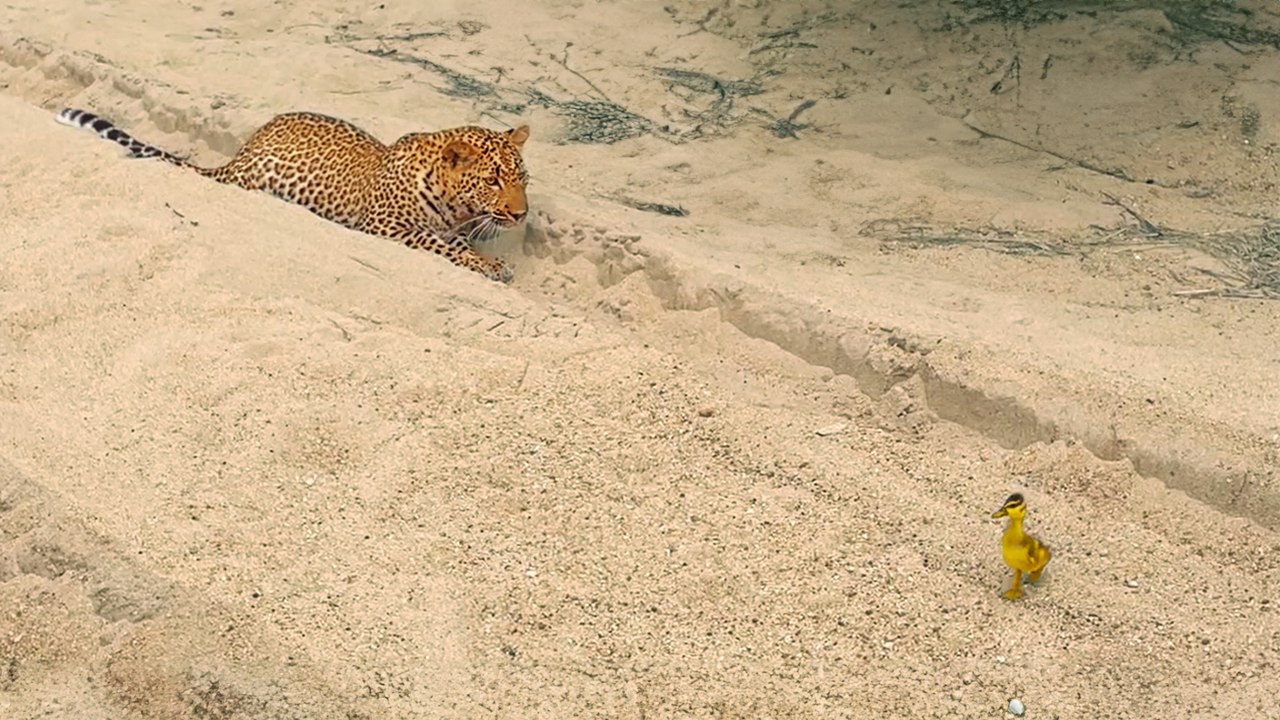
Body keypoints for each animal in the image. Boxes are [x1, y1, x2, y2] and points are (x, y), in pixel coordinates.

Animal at [56, 107, 530, 282]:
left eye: (522, 179)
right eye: (493, 180)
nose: (522, 215)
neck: (454, 206)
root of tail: (240, 154)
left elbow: (457, 243)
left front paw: (491, 261)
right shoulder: (385, 226)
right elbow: (438, 244)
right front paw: (489, 266)